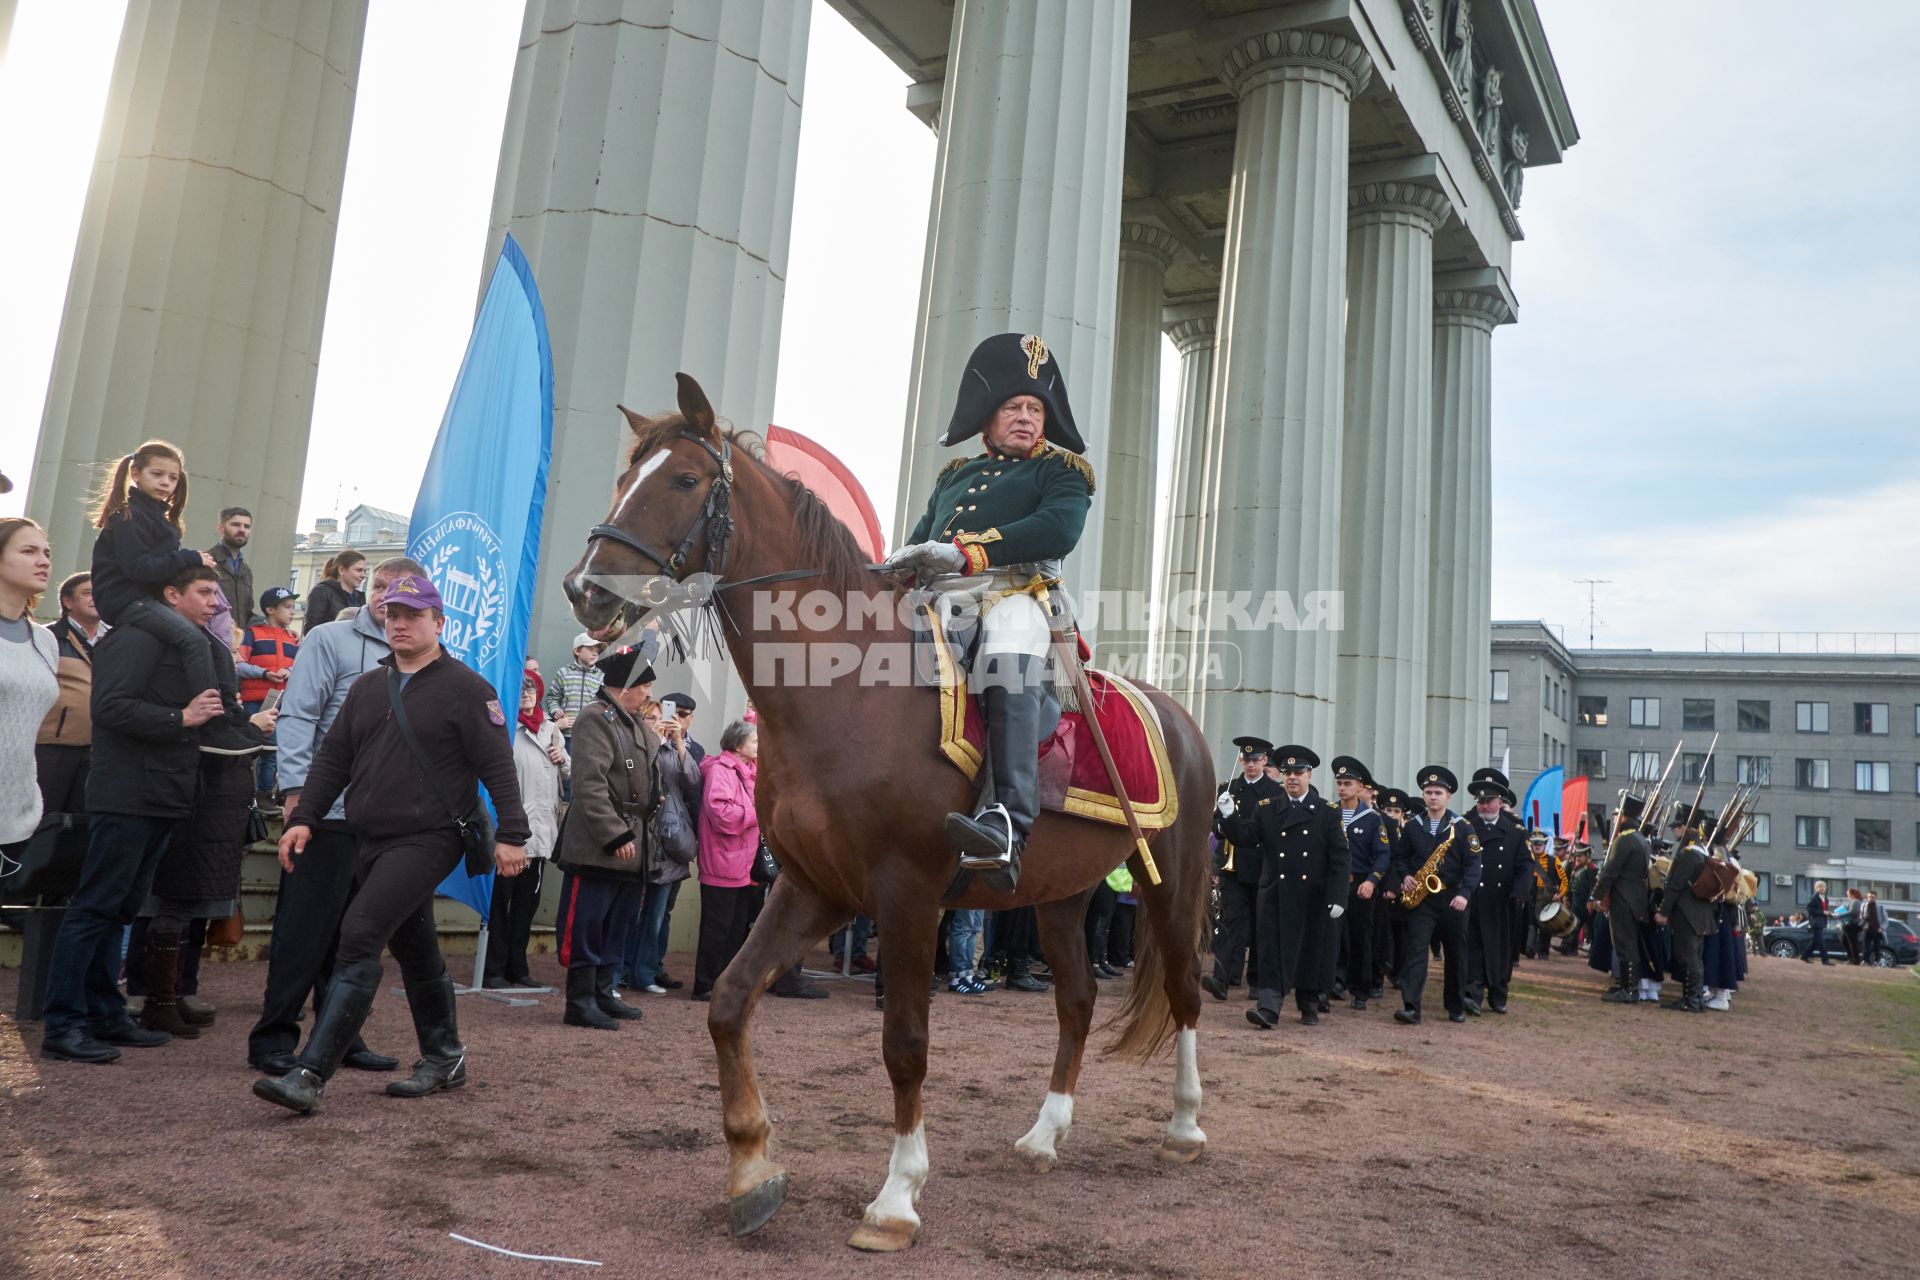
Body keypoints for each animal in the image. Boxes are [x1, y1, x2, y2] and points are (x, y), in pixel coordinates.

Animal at [560, 370, 1205, 1251]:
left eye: (685, 479)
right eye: (628, 475)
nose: (587, 589)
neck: (844, 694)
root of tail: (1175, 714)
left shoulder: (907, 893)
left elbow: (905, 1043)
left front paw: (897, 1198)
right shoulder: (815, 886)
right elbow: (727, 1003)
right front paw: (753, 1173)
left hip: (1171, 885)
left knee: (1186, 989)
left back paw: (1185, 1128)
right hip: (1061, 896)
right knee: (1076, 1001)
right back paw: (1045, 1136)